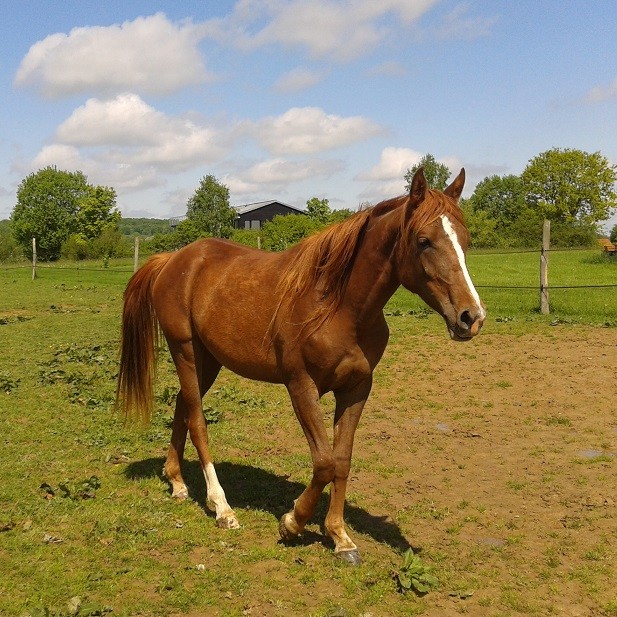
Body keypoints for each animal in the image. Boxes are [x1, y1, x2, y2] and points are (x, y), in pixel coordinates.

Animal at [114, 167, 482, 564]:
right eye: (424, 241)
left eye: (465, 239)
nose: (471, 317)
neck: (338, 307)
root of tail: (174, 259)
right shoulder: (301, 386)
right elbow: (323, 462)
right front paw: (292, 523)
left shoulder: (356, 389)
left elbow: (342, 460)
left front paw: (340, 536)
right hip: (184, 351)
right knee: (197, 420)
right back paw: (222, 507)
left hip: (207, 361)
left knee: (183, 407)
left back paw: (178, 483)